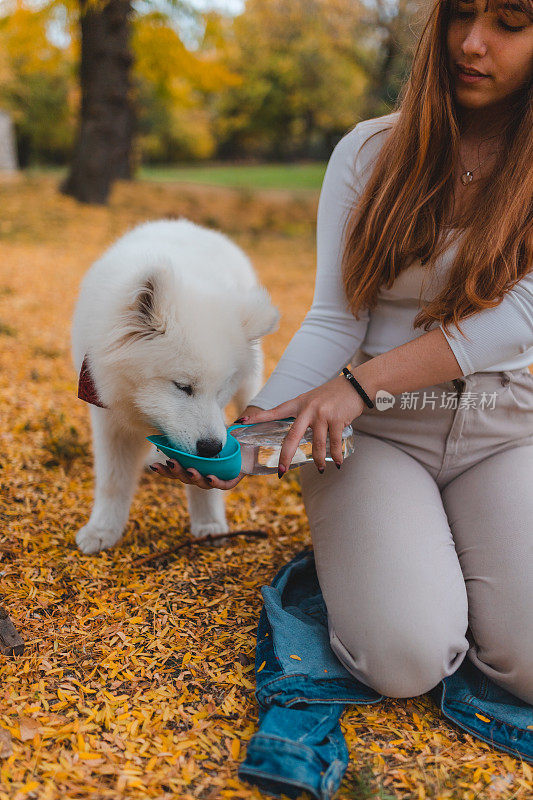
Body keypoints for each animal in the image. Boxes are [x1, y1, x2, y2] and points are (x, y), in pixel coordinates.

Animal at [71, 219, 278, 556]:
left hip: (251, 381)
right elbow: (112, 481)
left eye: (221, 391)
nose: (212, 448)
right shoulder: (109, 421)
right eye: (182, 387)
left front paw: (209, 525)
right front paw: (102, 531)